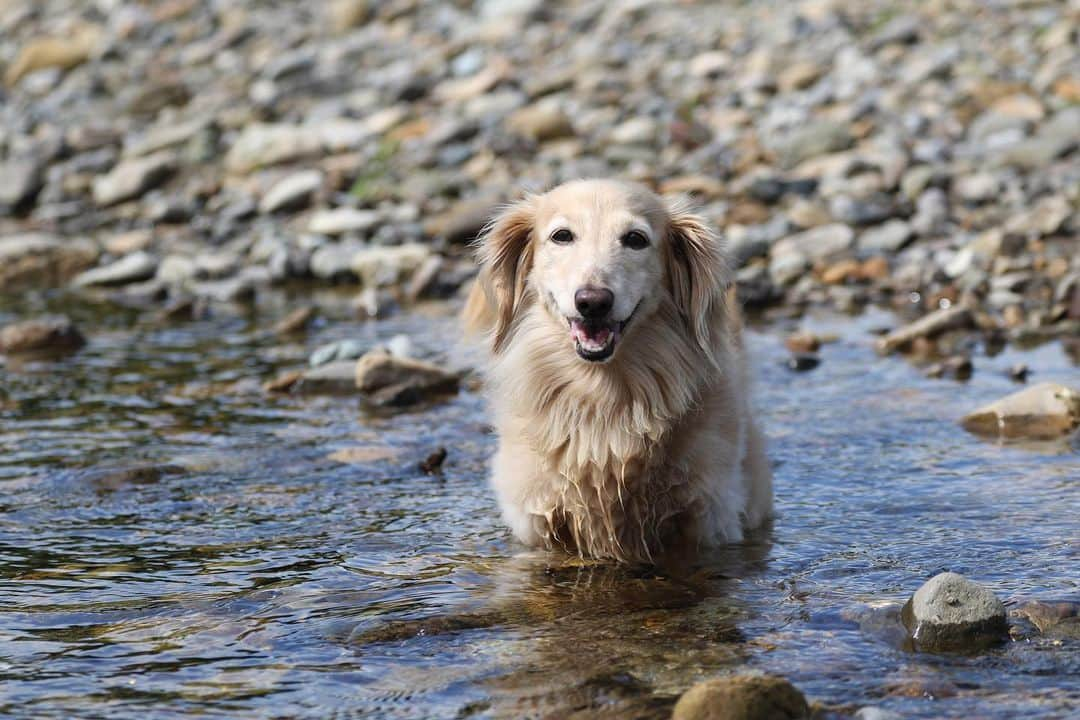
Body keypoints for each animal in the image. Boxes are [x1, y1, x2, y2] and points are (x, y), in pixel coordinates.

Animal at [468, 179, 773, 561]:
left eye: (635, 239)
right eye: (561, 236)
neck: (605, 402)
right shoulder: (538, 523)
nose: (592, 302)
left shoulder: (707, 518)